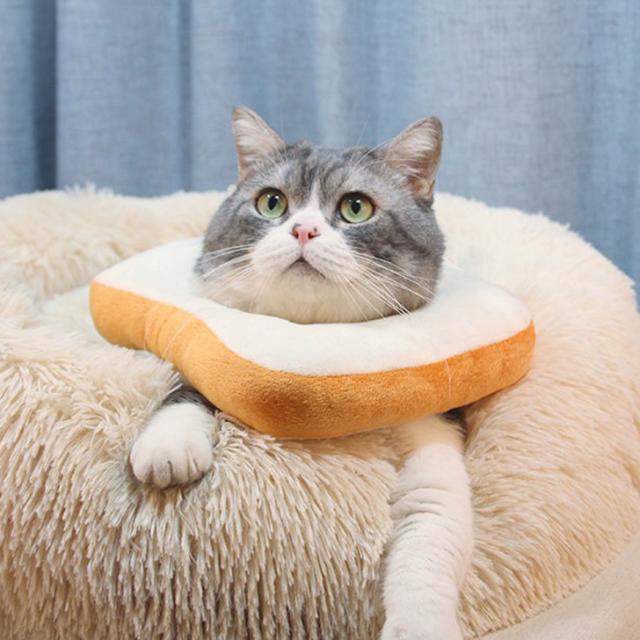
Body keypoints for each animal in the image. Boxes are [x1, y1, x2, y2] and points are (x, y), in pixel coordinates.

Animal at [129, 107, 472, 640]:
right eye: (272, 203)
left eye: (356, 208)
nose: (304, 231)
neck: (316, 339)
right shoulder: (230, 344)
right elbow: (196, 383)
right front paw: (170, 444)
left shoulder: (433, 427)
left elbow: (431, 522)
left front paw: (420, 625)